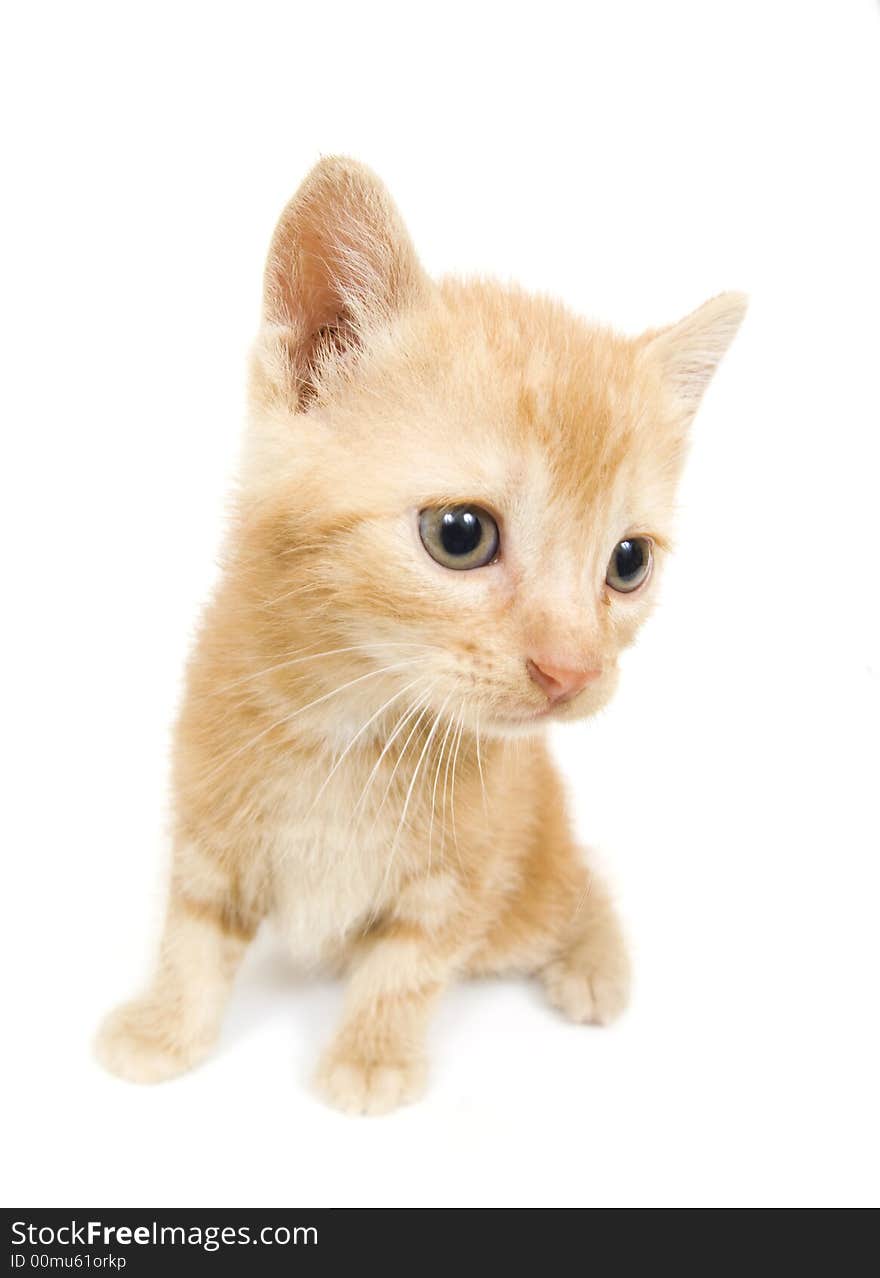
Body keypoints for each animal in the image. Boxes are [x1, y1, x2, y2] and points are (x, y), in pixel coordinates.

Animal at [94, 159, 740, 1114]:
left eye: (628, 562)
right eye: (460, 535)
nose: (573, 671)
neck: (351, 722)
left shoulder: (466, 880)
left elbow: (408, 966)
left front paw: (371, 1057)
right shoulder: (207, 817)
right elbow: (192, 932)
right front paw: (167, 1026)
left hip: (528, 890)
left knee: (581, 880)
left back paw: (596, 962)